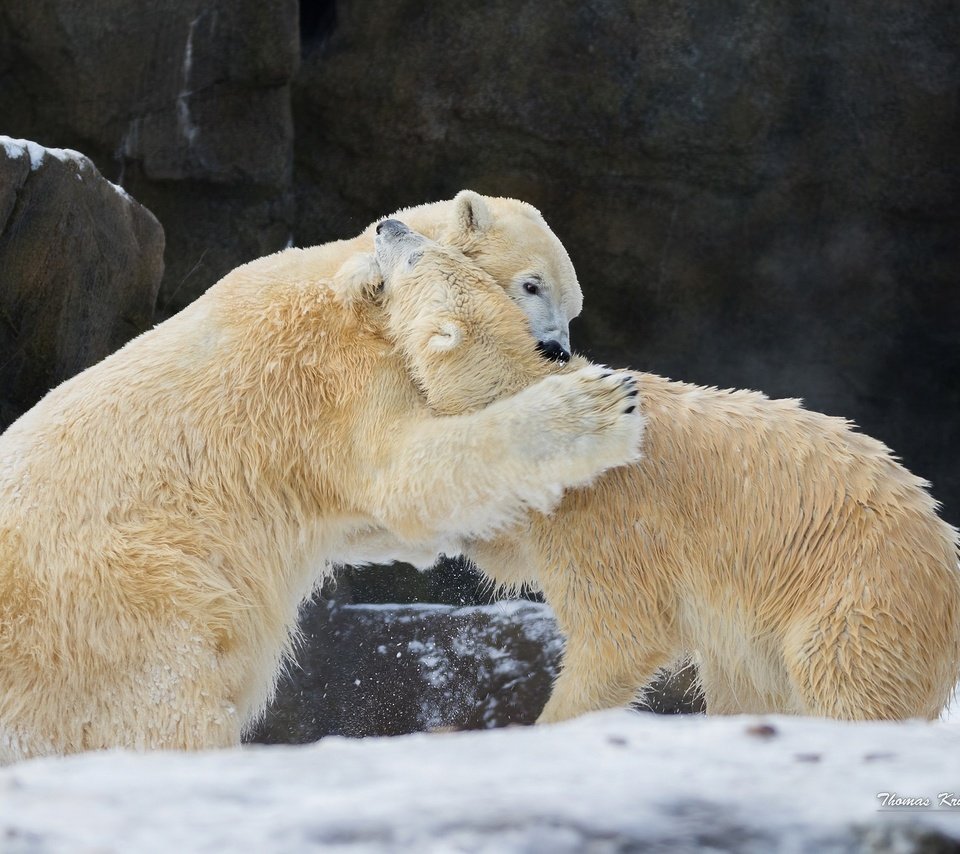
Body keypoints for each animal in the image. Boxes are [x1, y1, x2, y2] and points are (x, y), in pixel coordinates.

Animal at [1, 194, 644, 764]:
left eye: (573, 307)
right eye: (532, 284)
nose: (556, 350)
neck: (363, 285)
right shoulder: (337, 371)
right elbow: (404, 475)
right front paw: (600, 407)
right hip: (129, 593)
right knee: (167, 700)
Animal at [374, 221, 960, 724]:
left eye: (420, 254)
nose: (388, 226)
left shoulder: (607, 517)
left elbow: (622, 632)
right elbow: (510, 544)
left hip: (859, 596)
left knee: (843, 679)